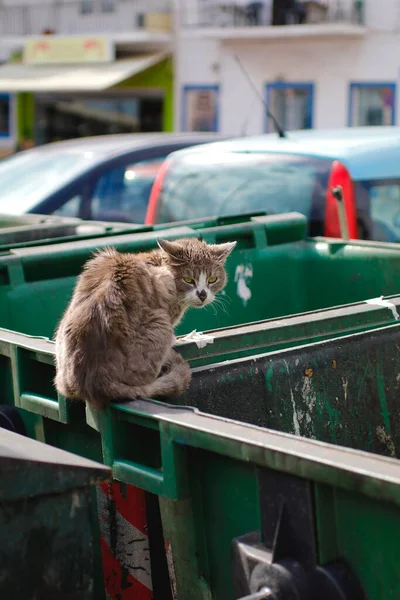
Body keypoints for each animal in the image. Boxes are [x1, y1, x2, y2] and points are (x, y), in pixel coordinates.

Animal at [54, 237, 236, 410]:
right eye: (188, 279)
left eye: (212, 279)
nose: (202, 294)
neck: (158, 262)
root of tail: (94, 383)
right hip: (160, 322)